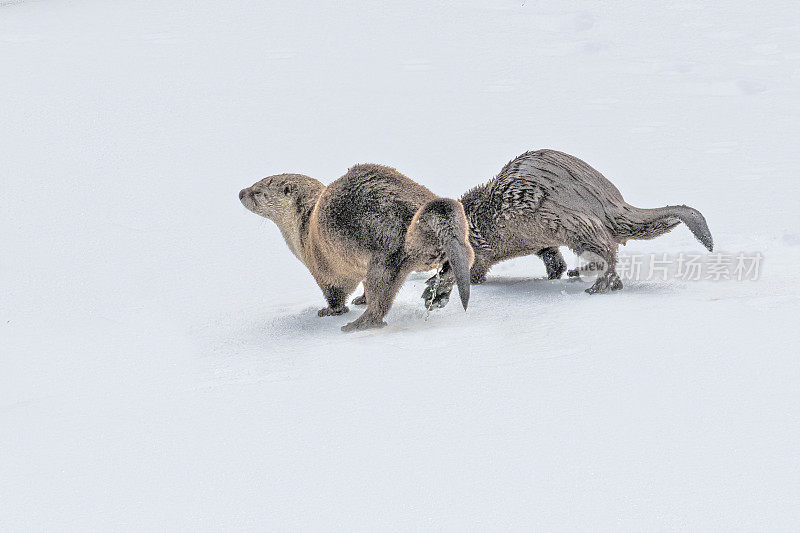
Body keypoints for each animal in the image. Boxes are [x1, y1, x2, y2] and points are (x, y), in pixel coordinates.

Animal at [239, 163, 476, 328]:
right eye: (255, 183)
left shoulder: (324, 268)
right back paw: (438, 292)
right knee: (468, 255)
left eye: (257, 191)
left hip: (385, 258)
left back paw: (358, 324)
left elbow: (335, 293)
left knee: (380, 299)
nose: (241, 192)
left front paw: (330, 311)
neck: (305, 227)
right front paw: (361, 298)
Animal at [422, 148, 716, 306]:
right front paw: (554, 272)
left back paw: (593, 285)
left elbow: (473, 266)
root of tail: (612, 205)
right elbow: (551, 257)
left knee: (607, 252)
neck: (481, 217)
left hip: (570, 222)